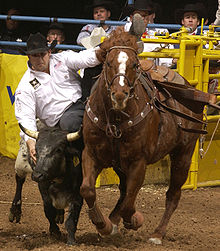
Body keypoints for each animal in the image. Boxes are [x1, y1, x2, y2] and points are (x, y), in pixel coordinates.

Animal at [80, 28, 206, 245]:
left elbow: (129, 203)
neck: (115, 118)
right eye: (108, 63)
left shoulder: (138, 162)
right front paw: (104, 225)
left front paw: (133, 220)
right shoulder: (91, 153)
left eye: (134, 64)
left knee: (172, 195)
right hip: (121, 164)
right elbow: (88, 189)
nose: (119, 94)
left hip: (183, 155)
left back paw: (157, 234)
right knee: (124, 191)